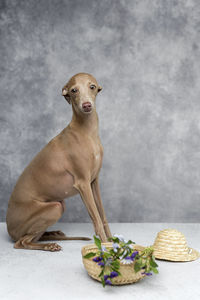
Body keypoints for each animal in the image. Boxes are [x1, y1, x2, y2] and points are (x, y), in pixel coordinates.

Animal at [5, 72, 112, 251]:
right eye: (74, 90)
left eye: (92, 86)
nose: (87, 105)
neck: (86, 131)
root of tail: (9, 230)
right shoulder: (82, 183)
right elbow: (96, 218)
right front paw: (105, 246)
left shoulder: (94, 182)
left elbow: (103, 215)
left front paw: (113, 241)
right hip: (55, 207)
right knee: (22, 242)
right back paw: (50, 245)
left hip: (58, 205)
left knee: (35, 237)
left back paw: (53, 234)